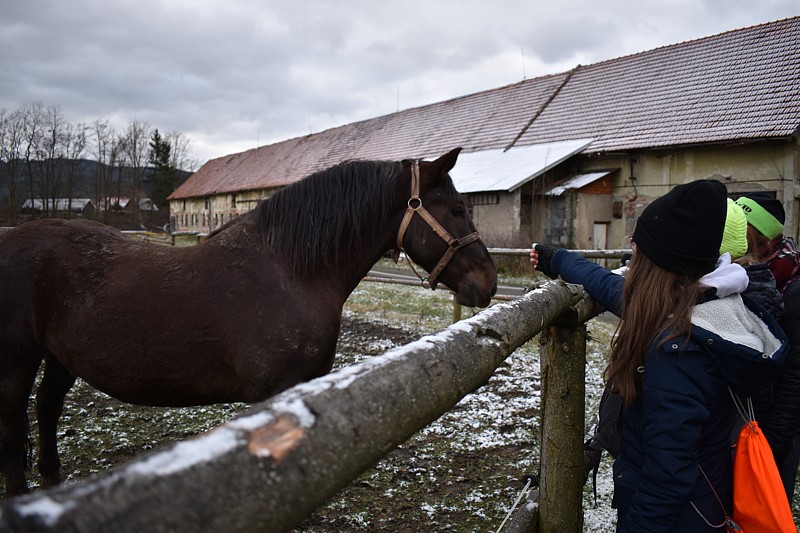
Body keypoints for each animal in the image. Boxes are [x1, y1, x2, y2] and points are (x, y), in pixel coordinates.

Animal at [0, 147, 496, 494]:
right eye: (457, 210)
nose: (489, 282)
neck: (290, 270)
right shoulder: (273, 394)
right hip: (19, 361)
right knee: (14, 427)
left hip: (62, 358)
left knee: (47, 410)